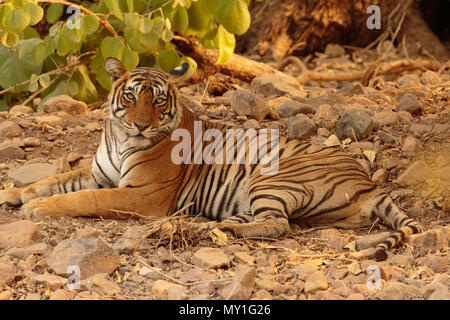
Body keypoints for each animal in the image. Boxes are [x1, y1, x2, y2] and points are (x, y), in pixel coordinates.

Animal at [0, 57, 424, 260]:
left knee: (277, 226)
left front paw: (38, 209)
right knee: (263, 221)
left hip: (271, 177)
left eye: (158, 101)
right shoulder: (101, 175)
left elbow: (81, 199)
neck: (120, 139)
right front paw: (14, 194)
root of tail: (369, 180)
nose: (140, 125)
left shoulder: (140, 194)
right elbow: (50, 181)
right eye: (130, 96)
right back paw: (208, 227)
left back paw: (218, 230)